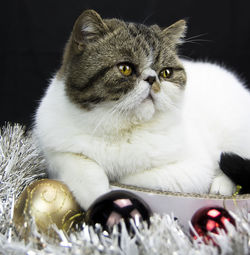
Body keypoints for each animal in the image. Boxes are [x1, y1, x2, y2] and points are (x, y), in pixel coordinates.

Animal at [33, 9, 250, 209]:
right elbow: (77, 163)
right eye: (125, 68)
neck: (119, 128)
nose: (153, 78)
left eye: (166, 73)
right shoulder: (52, 150)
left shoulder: (193, 169)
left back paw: (222, 187)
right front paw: (96, 193)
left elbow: (132, 179)